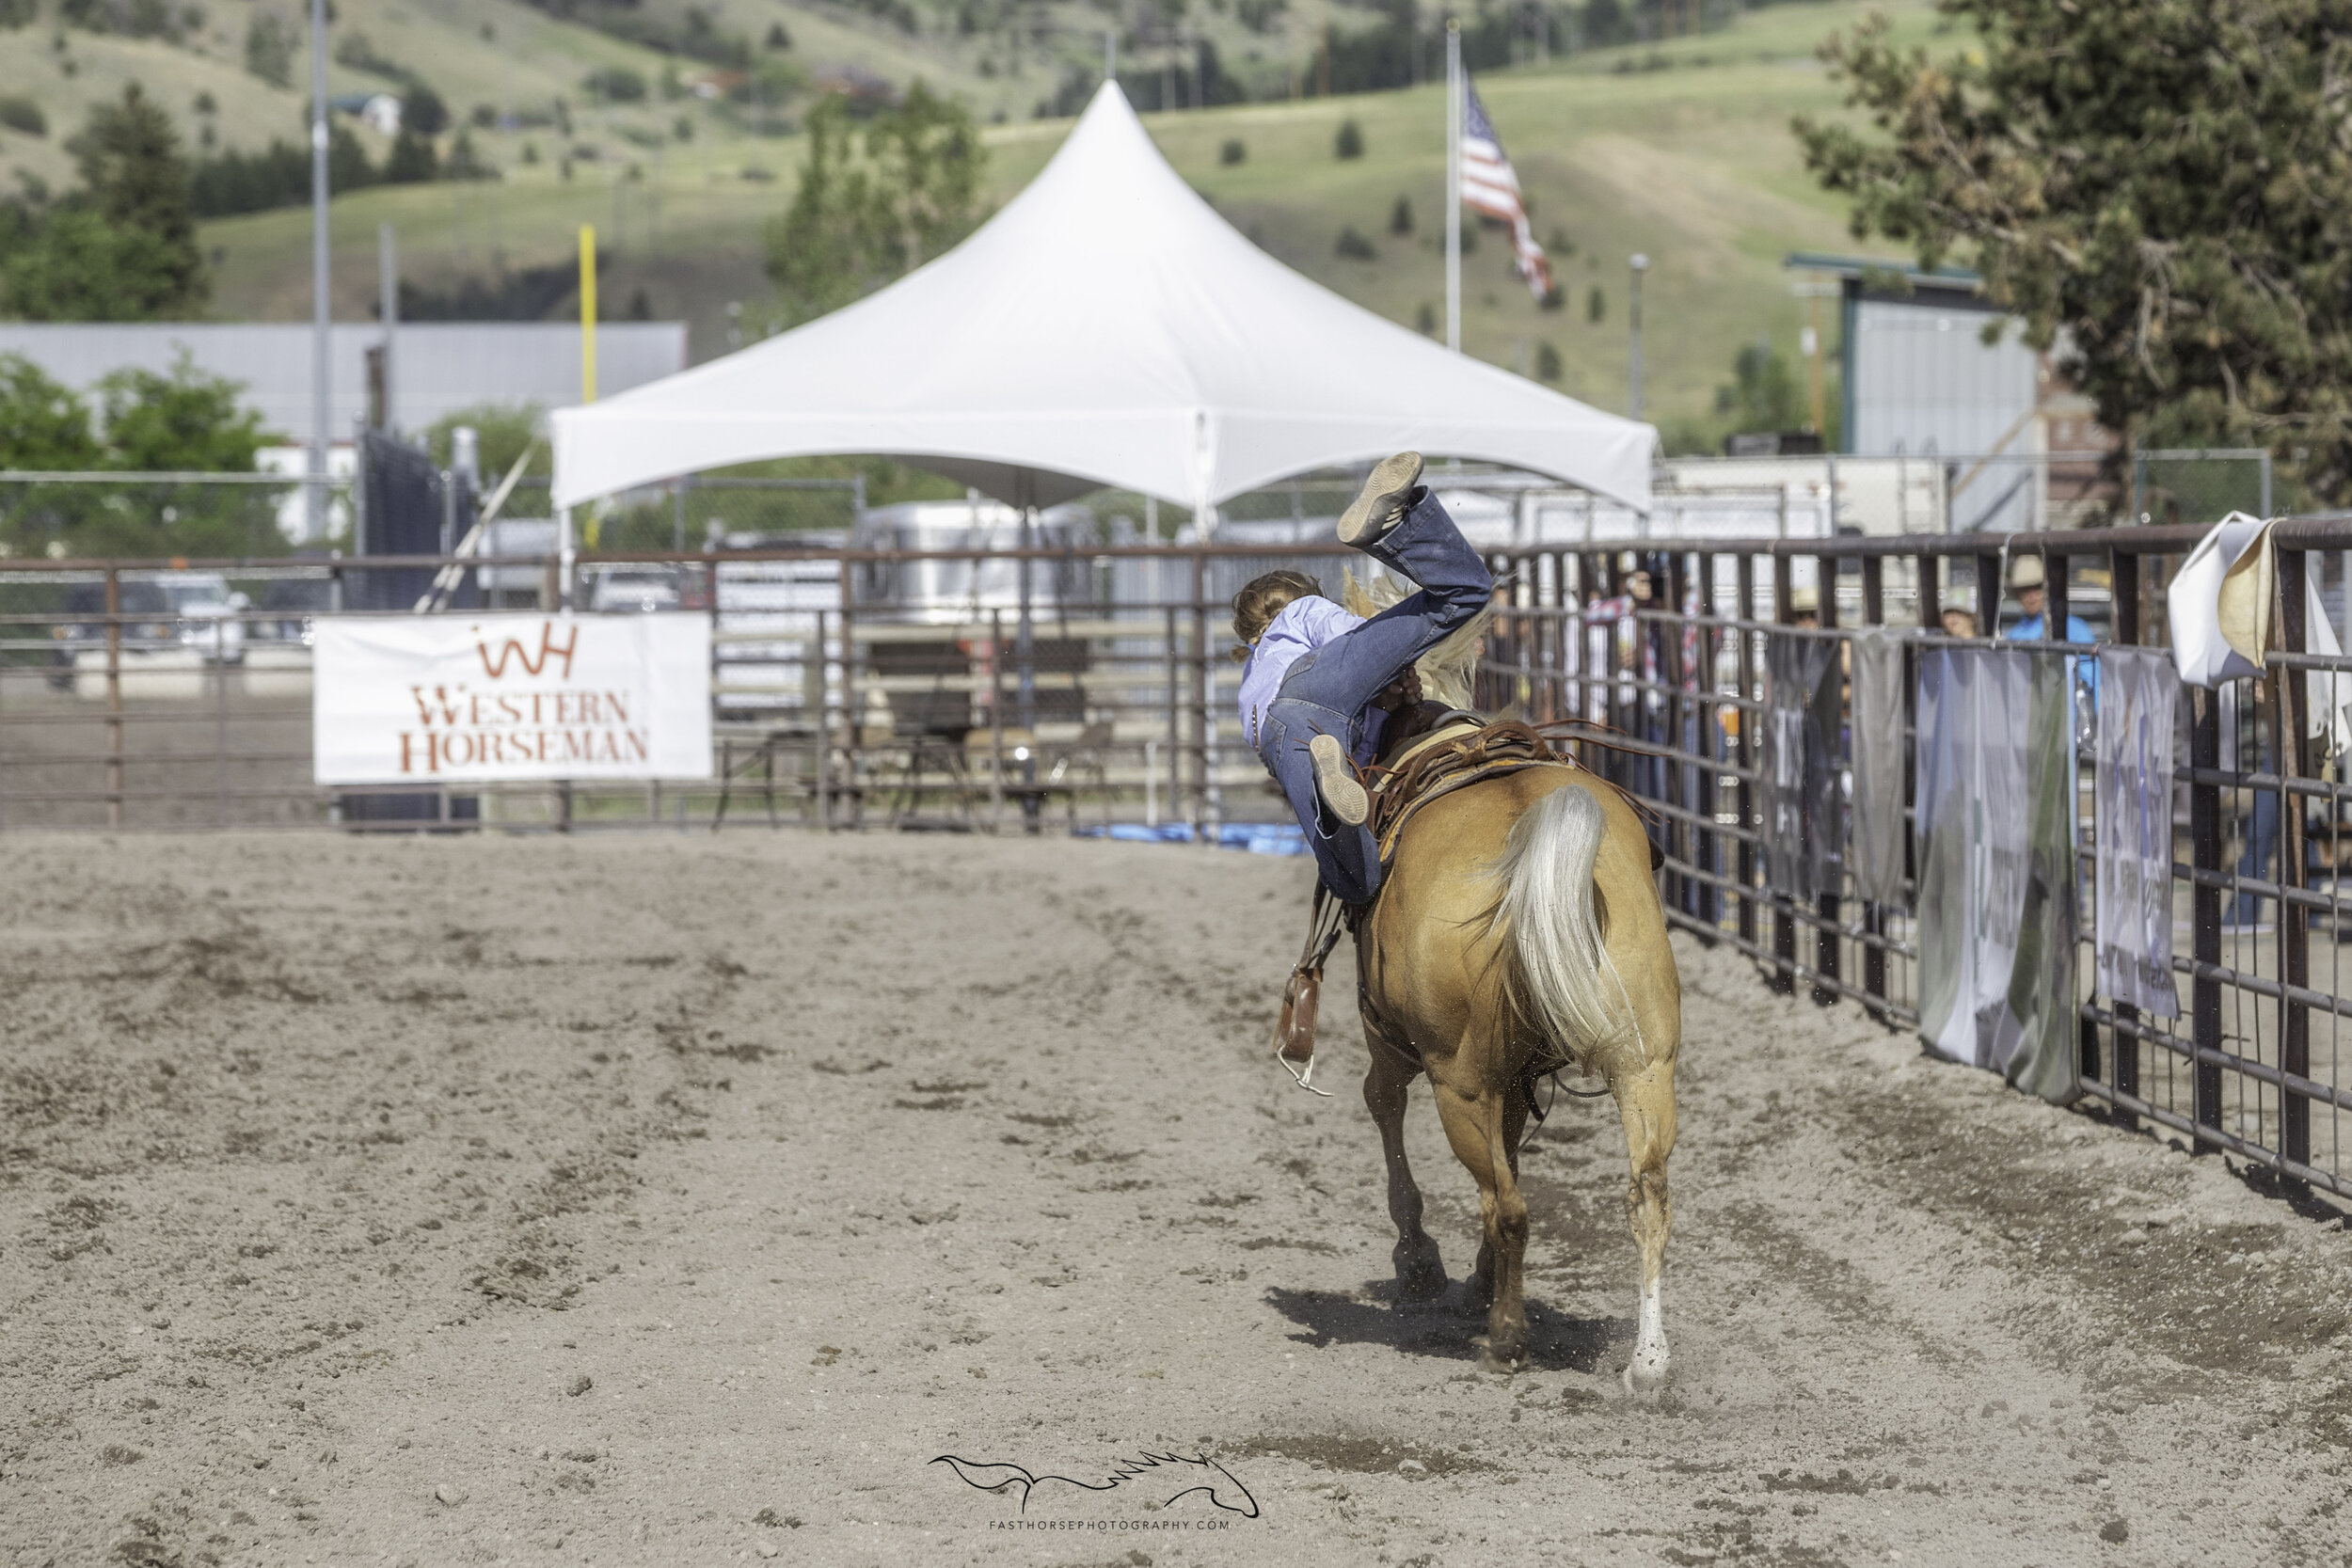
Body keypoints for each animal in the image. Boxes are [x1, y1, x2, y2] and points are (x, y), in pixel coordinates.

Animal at [1355, 761, 1684, 1382]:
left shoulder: (1392, 1042)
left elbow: (1384, 1104)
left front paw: (1417, 1261)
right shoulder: (1513, 1082)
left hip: (1457, 1088)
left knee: (1506, 1205)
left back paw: (1505, 1336)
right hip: (1645, 1067)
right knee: (1647, 1192)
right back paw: (1649, 1361)